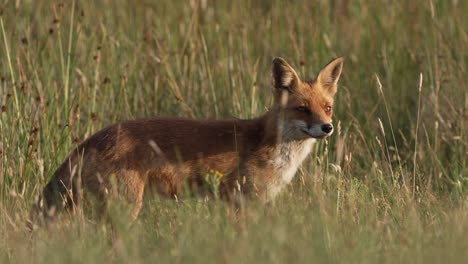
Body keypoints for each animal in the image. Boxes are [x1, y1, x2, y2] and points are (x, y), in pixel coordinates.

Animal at [31, 56, 342, 222]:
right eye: (303, 109)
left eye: (327, 108)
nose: (326, 127)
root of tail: (95, 137)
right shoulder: (240, 200)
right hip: (126, 207)